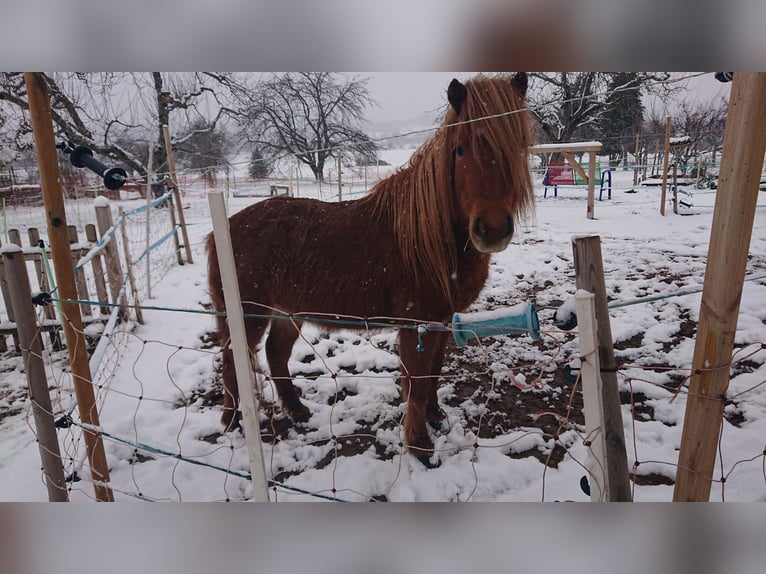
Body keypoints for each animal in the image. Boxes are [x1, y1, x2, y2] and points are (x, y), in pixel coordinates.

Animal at [207, 73, 536, 468]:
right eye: (459, 150)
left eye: (518, 146)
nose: (492, 229)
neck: (430, 238)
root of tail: (222, 229)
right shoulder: (417, 324)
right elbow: (418, 378)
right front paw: (419, 445)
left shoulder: (441, 320)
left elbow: (433, 371)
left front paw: (434, 415)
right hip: (247, 315)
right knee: (231, 360)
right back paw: (232, 421)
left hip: (287, 312)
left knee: (275, 353)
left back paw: (297, 410)